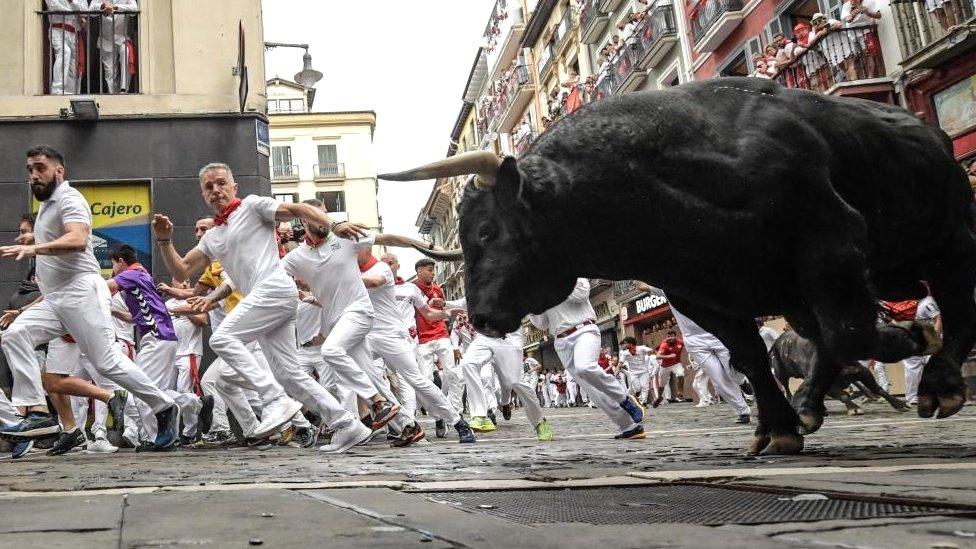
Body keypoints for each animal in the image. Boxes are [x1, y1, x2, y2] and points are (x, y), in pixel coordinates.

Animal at [384, 77, 976, 454]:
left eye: (487, 232)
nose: (481, 318)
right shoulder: (700, 291)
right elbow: (755, 357)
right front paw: (779, 428)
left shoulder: (832, 241)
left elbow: (852, 331)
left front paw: (914, 337)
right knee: (824, 341)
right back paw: (811, 403)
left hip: (951, 238)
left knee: (953, 301)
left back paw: (940, 382)